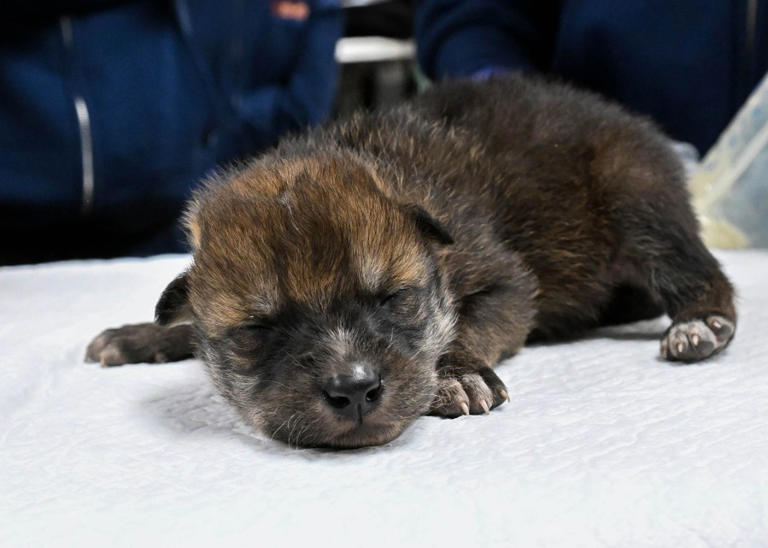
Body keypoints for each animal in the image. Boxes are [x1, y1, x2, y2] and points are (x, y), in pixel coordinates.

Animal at [88, 75, 736, 448]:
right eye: (256, 330)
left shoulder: (505, 281)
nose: (353, 390)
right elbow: (185, 319)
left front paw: (457, 373)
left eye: (397, 300)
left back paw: (698, 325)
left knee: (697, 270)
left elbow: (470, 323)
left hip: (636, 193)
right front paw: (141, 335)